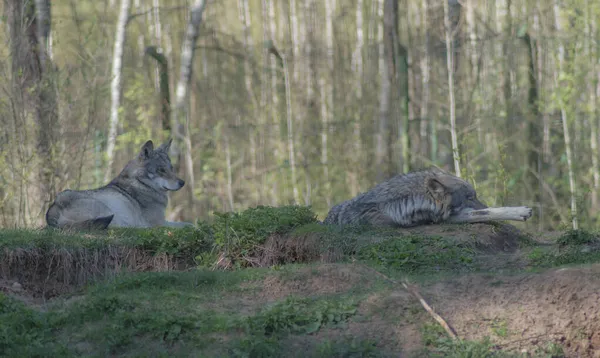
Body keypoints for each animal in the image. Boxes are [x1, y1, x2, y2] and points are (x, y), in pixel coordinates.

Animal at [46, 138, 193, 231]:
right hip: (108, 210)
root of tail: (53, 209)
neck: (142, 184)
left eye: (171, 168)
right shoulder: (160, 223)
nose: (182, 182)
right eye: (161, 170)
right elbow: (189, 224)